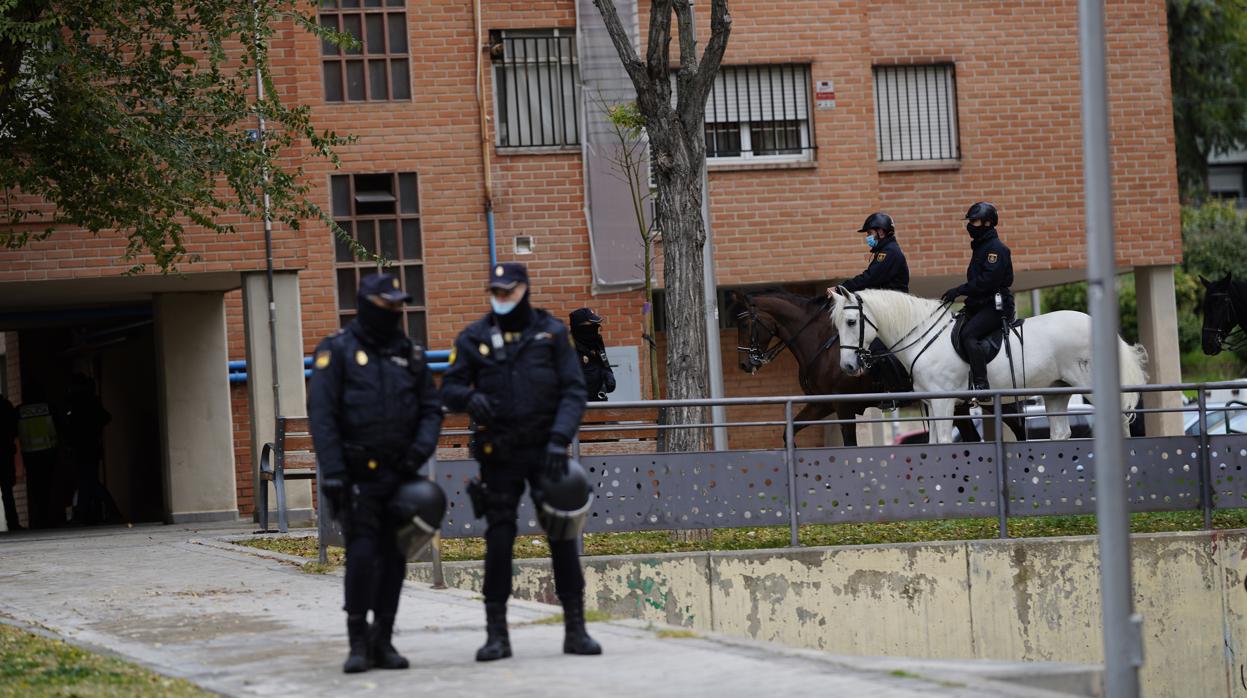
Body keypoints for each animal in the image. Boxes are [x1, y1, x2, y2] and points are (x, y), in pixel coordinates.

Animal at [728, 290, 1007, 446]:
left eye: (744, 325)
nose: (744, 363)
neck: (821, 344)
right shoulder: (822, 404)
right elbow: (790, 430)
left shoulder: (843, 406)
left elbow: (850, 445)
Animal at [832, 287, 1142, 441]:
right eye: (836, 325)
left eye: (851, 322)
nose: (847, 366)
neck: (923, 337)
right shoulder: (931, 404)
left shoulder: (944, 403)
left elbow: (944, 442)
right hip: (1056, 390)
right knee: (1060, 433)